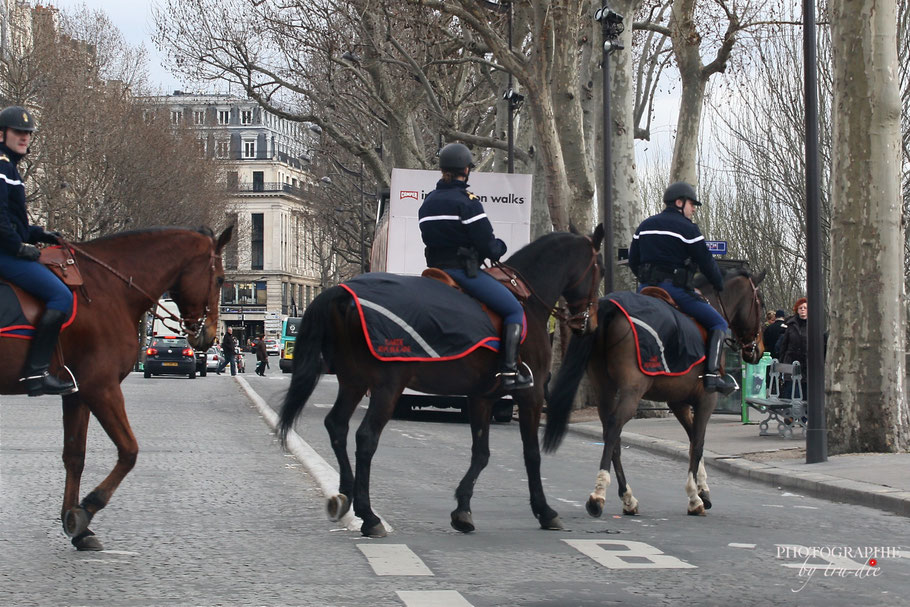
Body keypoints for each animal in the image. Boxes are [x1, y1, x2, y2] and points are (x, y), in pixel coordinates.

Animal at [0, 227, 233, 552]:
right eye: (221, 279)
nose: (209, 334)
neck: (109, 288)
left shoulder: (77, 392)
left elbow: (75, 455)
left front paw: (78, 527)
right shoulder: (102, 387)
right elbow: (129, 450)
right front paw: (86, 509)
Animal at [280, 226, 604, 540]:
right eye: (598, 269)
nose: (589, 324)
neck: (527, 301)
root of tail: (342, 292)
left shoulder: (482, 397)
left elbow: (481, 453)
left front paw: (462, 511)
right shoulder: (532, 395)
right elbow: (531, 454)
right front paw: (545, 511)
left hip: (353, 382)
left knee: (337, 425)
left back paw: (345, 496)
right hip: (387, 387)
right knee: (366, 437)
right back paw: (369, 516)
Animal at [544, 270, 764, 516]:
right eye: (761, 303)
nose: (758, 350)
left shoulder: (678, 401)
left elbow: (692, 441)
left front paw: (703, 490)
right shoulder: (706, 399)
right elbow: (697, 443)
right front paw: (694, 497)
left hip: (604, 389)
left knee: (612, 435)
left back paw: (628, 498)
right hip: (632, 391)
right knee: (614, 428)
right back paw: (598, 495)